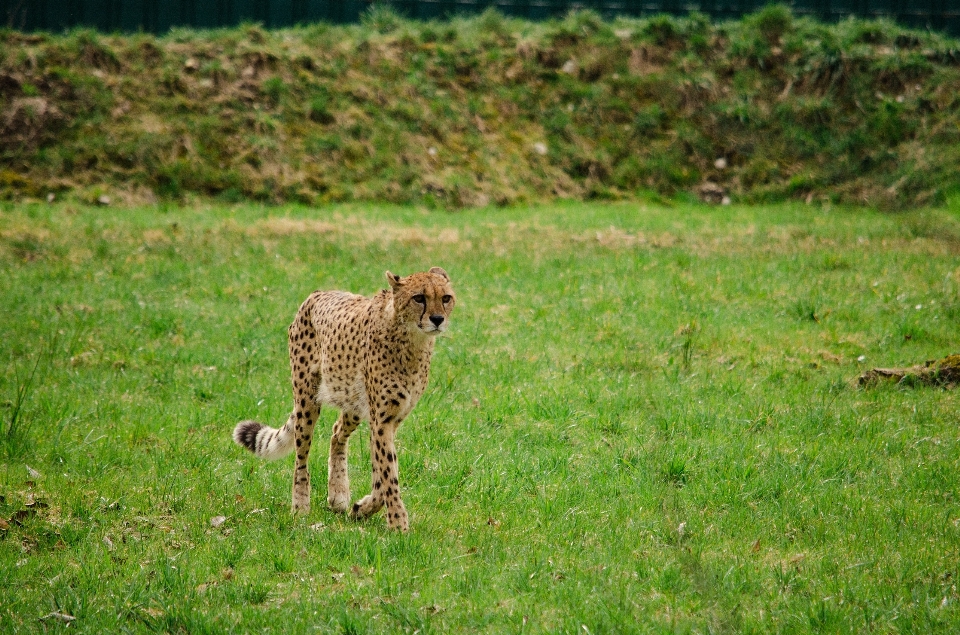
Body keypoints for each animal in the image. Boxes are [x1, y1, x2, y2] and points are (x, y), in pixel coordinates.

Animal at [233, 268, 458, 532]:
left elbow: (381, 475)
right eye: (419, 298)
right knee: (301, 456)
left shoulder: (390, 419)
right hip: (307, 400)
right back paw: (300, 506)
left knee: (336, 432)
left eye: (445, 298)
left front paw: (363, 509)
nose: (437, 319)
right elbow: (388, 474)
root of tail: (317, 293)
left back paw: (338, 494)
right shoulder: (381, 420)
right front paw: (398, 524)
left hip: (354, 403)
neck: (411, 339)